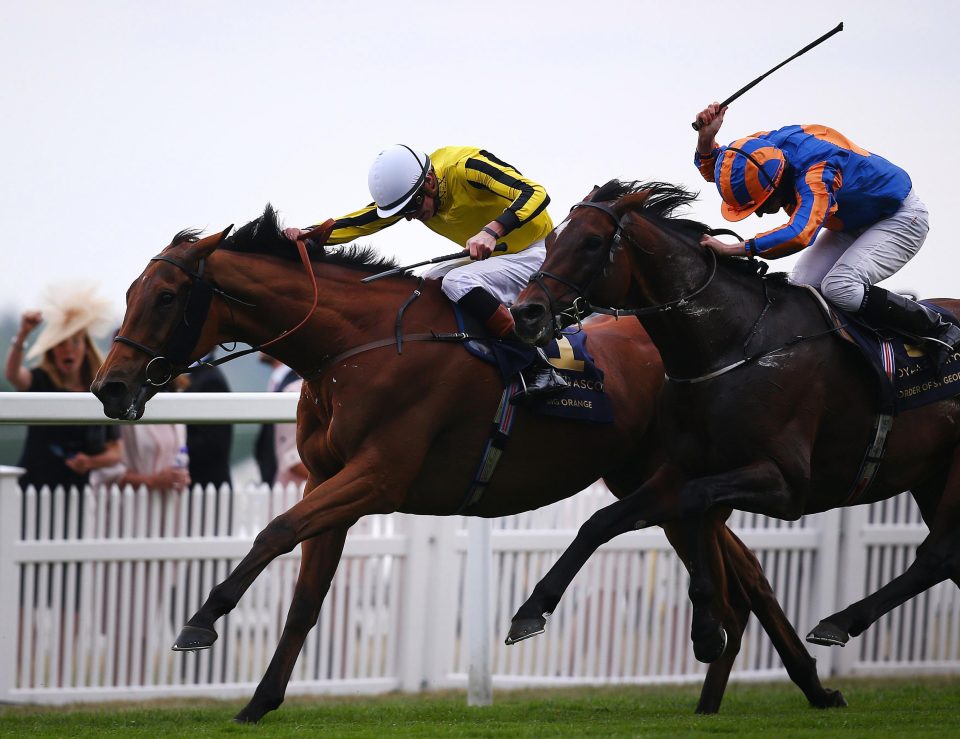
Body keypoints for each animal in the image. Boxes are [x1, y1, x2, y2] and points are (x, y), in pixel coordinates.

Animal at [88, 207, 840, 724]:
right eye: (127, 294)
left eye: (164, 297)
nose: (109, 387)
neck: (354, 345)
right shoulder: (335, 482)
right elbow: (305, 597)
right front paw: (259, 701)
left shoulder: (378, 477)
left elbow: (273, 532)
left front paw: (201, 620)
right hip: (650, 481)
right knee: (746, 571)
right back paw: (786, 687)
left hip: (666, 478)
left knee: (741, 572)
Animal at [512, 181, 960, 672]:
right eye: (551, 242)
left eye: (592, 242)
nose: (525, 313)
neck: (733, 344)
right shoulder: (681, 467)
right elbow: (601, 522)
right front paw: (530, 610)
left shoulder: (787, 485)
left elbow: (696, 501)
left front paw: (708, 630)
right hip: (931, 474)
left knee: (937, 556)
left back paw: (839, 621)